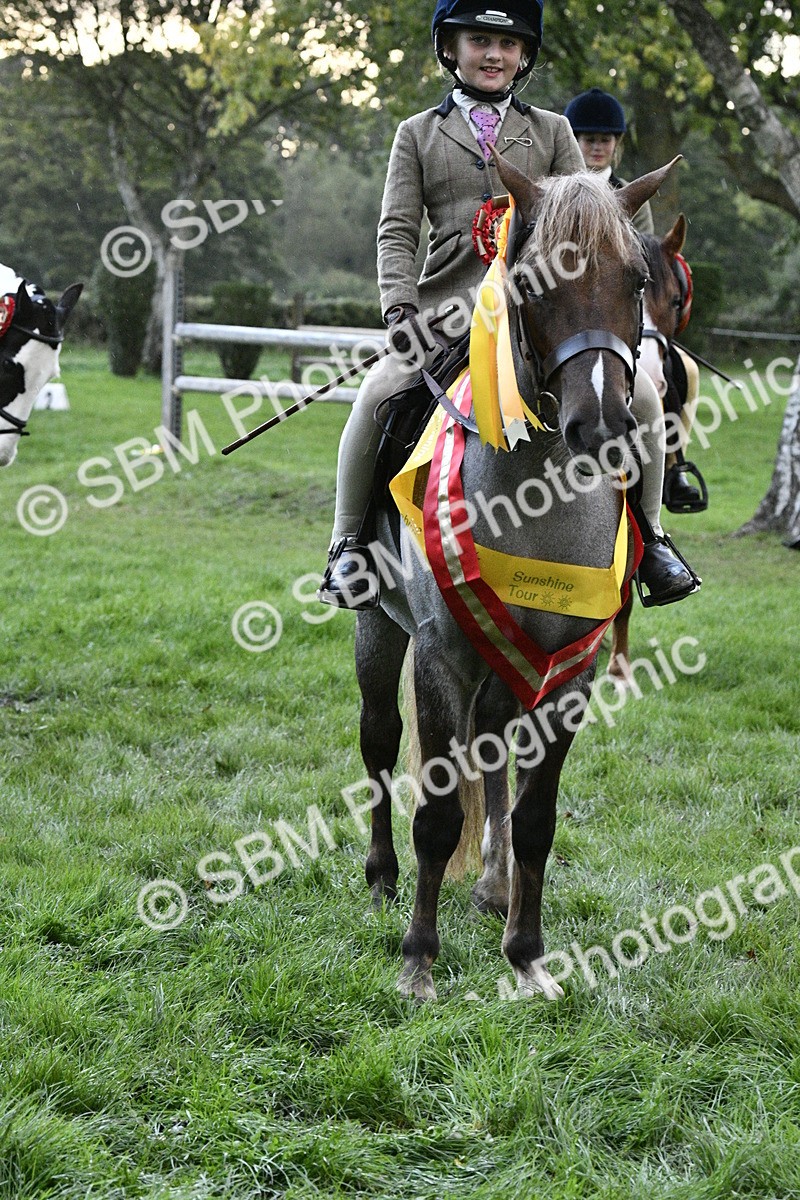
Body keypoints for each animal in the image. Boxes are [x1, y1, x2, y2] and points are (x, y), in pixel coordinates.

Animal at [354, 156, 680, 1000]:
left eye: (636, 279)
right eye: (532, 281)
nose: (602, 427)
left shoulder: (573, 669)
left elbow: (537, 816)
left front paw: (528, 956)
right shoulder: (441, 655)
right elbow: (436, 813)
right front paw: (418, 962)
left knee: (494, 750)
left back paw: (497, 889)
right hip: (378, 629)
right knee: (380, 741)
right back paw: (381, 876)